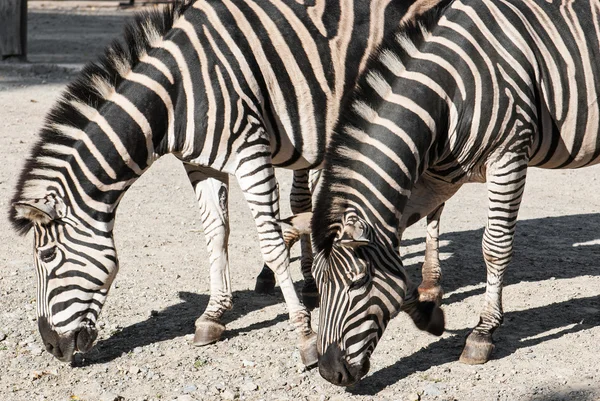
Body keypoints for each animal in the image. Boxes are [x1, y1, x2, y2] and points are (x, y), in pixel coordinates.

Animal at [8, 0, 446, 362]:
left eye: (47, 256)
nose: (51, 346)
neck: (178, 95)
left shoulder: (250, 151)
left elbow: (271, 244)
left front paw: (304, 336)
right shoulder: (202, 164)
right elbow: (216, 235)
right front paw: (213, 315)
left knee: (435, 197)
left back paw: (429, 285)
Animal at [304, 0, 600, 386]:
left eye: (359, 282)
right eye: (317, 283)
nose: (328, 372)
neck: (447, 92)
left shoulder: (509, 154)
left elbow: (494, 247)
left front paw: (482, 333)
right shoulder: (435, 180)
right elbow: (398, 254)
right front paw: (429, 315)